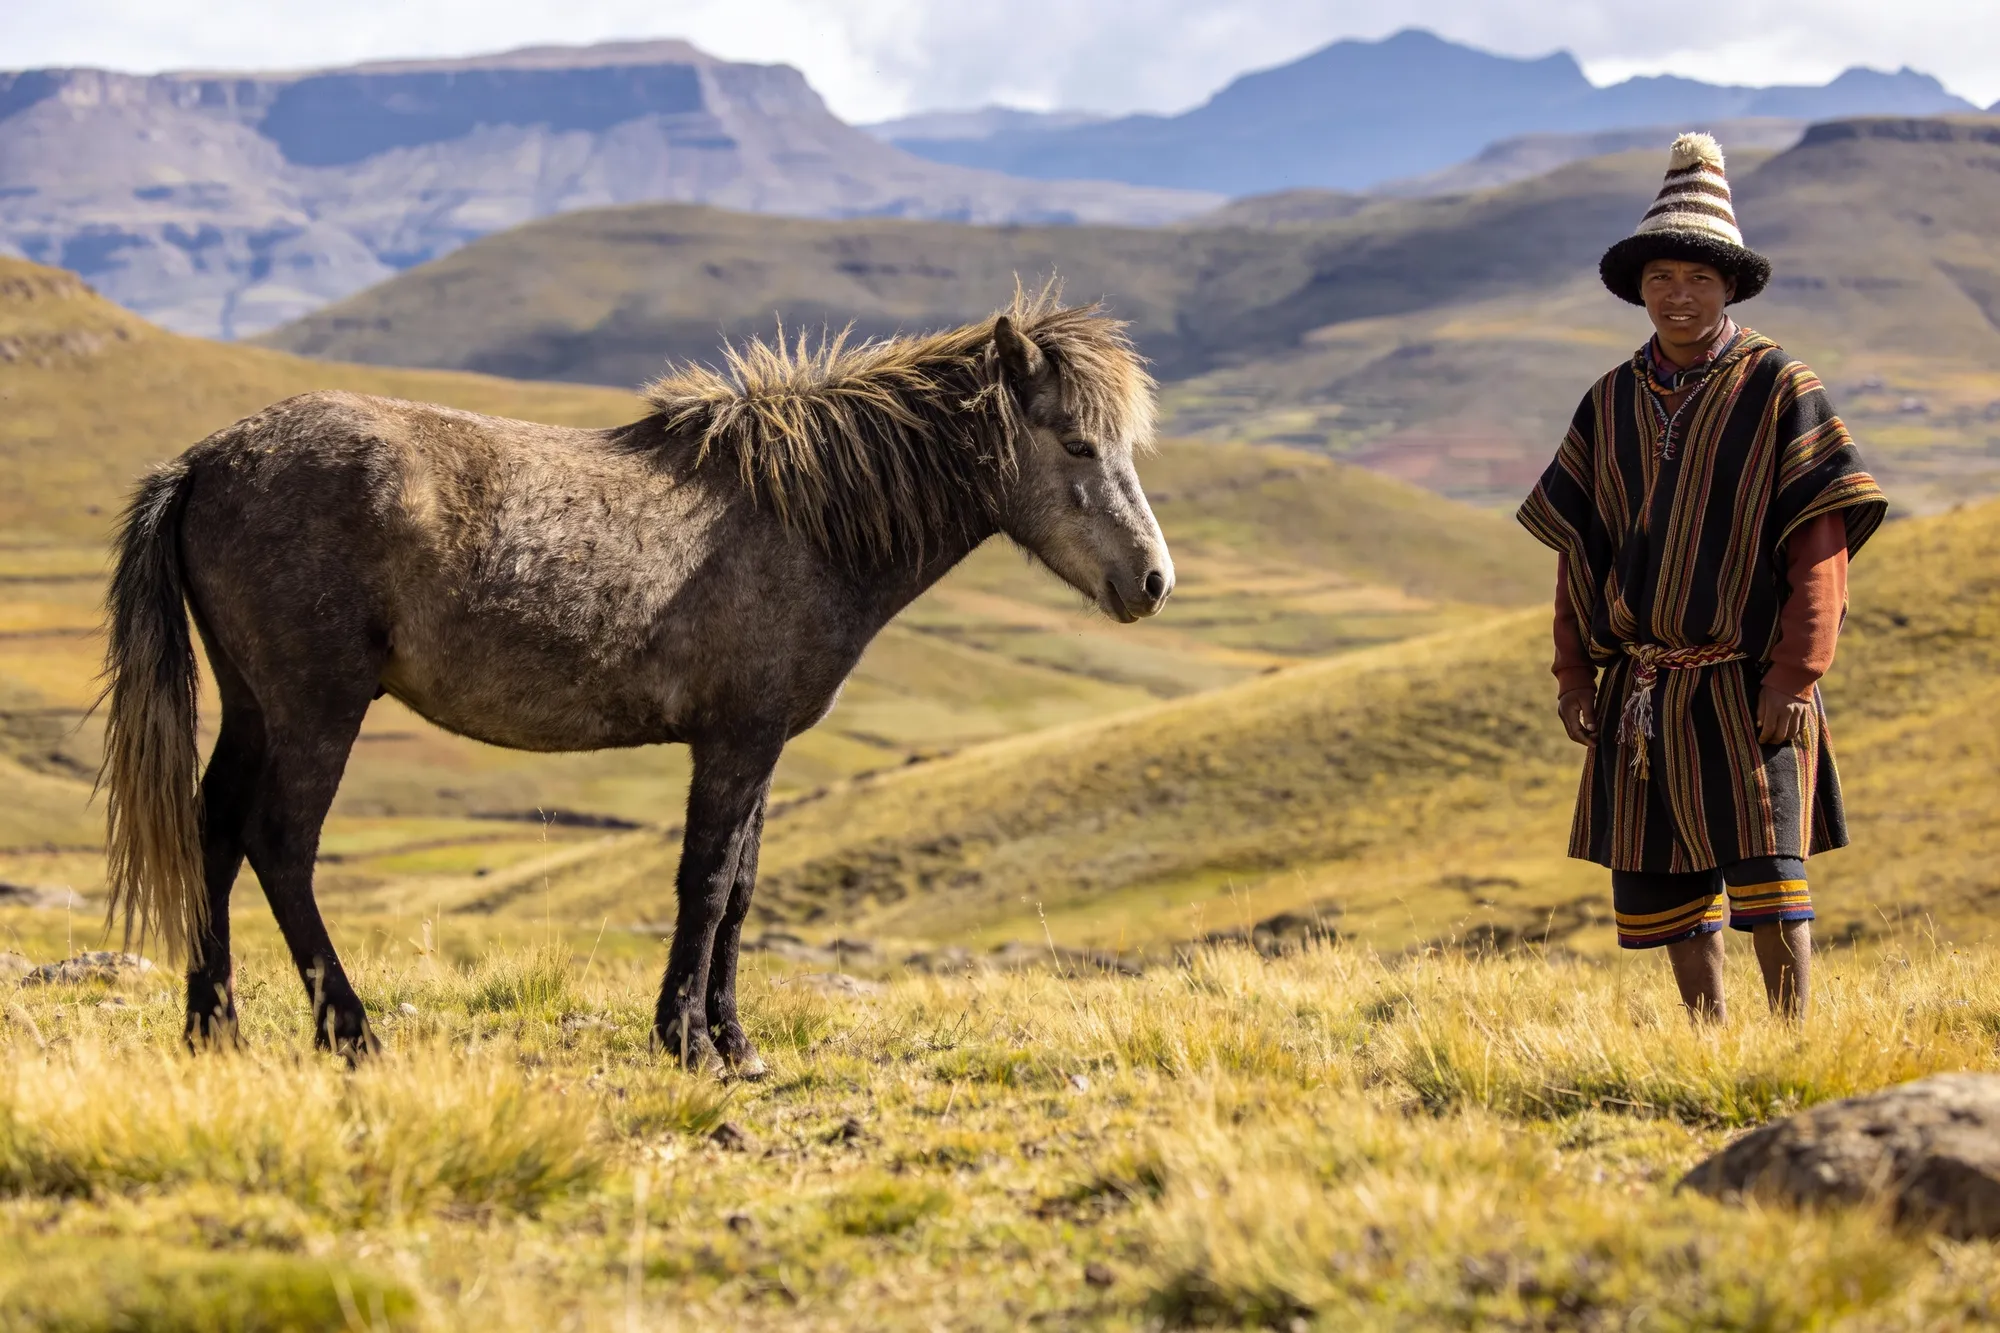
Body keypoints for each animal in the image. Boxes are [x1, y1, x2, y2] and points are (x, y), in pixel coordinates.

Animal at [96, 291, 1173, 1070]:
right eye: (1078, 443)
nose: (1153, 582)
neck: (802, 518)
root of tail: (205, 460)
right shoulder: (733, 741)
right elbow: (706, 881)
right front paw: (689, 1041)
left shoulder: (758, 742)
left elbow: (740, 887)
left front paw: (733, 1040)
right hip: (317, 704)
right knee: (279, 842)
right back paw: (352, 1033)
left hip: (253, 701)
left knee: (213, 829)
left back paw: (213, 1028)